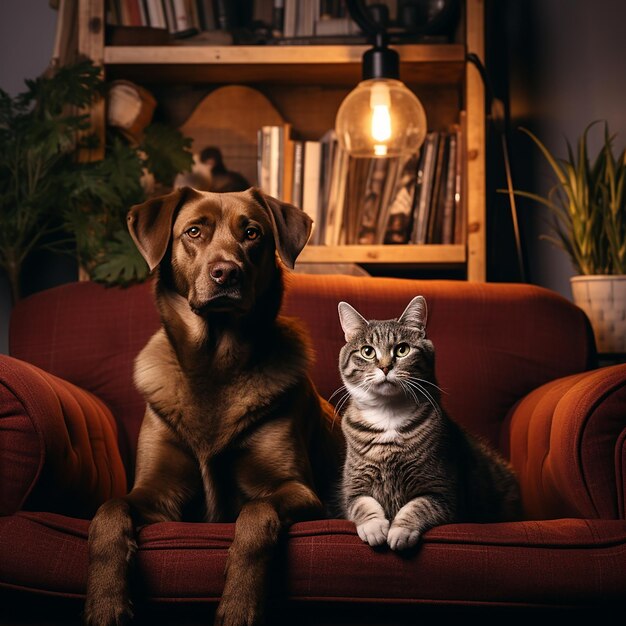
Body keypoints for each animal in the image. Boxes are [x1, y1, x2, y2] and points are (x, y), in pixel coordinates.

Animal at [84, 186, 342, 624]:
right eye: (193, 231)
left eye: (253, 233)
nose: (226, 273)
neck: (215, 366)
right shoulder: (158, 493)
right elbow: (109, 510)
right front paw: (105, 602)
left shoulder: (299, 490)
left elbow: (256, 514)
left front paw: (239, 603)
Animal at [336, 294, 520, 548]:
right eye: (367, 351)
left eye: (402, 349)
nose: (385, 366)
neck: (388, 414)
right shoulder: (354, 488)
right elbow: (362, 505)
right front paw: (374, 528)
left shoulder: (443, 491)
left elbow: (418, 506)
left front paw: (399, 531)